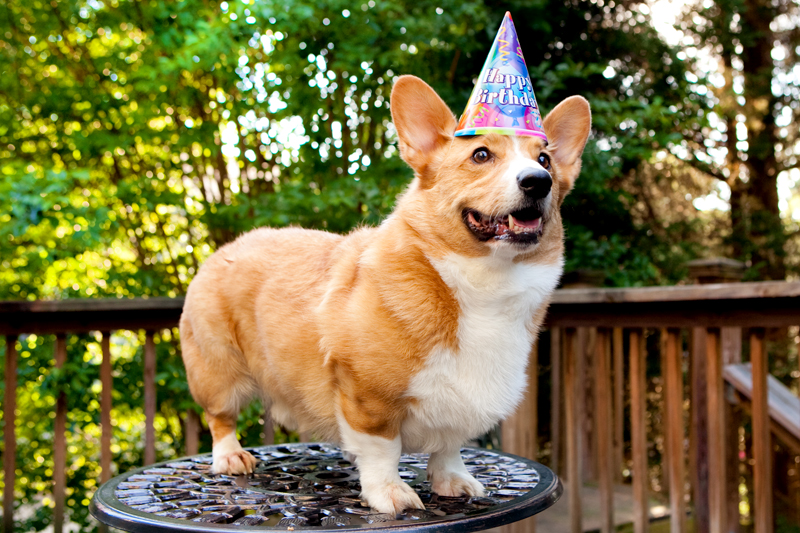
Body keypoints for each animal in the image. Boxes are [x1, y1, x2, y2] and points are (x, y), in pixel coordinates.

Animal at [183, 75, 592, 516]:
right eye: (481, 154)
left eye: (545, 159)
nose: (538, 181)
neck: (485, 283)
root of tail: (227, 248)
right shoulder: (367, 396)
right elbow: (383, 450)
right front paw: (390, 493)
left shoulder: (458, 406)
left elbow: (449, 447)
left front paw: (453, 481)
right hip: (218, 372)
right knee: (220, 418)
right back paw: (230, 456)